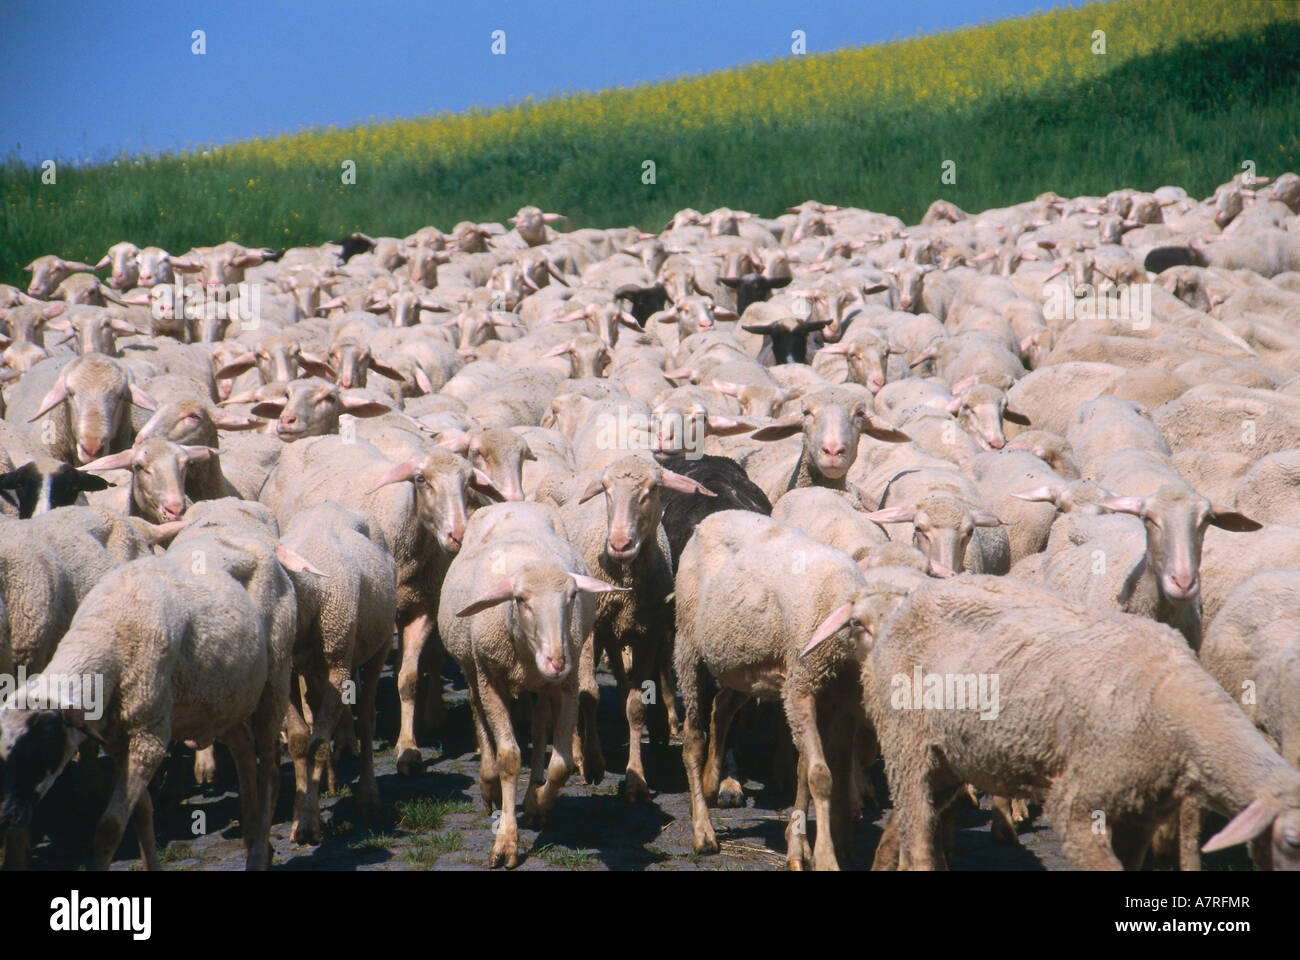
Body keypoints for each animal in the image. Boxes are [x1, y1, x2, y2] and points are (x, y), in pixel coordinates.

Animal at [436, 502, 624, 868]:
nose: (557, 660)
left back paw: (532, 788)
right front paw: (506, 842)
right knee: (478, 711)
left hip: (542, 685)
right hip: (473, 667)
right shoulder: (491, 676)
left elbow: (562, 764)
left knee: (538, 727)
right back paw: (489, 782)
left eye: (572, 597)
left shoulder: (566, 685)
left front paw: (537, 801)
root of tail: (510, 503)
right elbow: (509, 757)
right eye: (521, 600)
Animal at [868, 572, 1300, 868]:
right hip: (905, 740)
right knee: (917, 832)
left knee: (904, 826)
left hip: (948, 758)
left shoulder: (1139, 813)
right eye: (1294, 841)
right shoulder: (1079, 801)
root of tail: (914, 597)